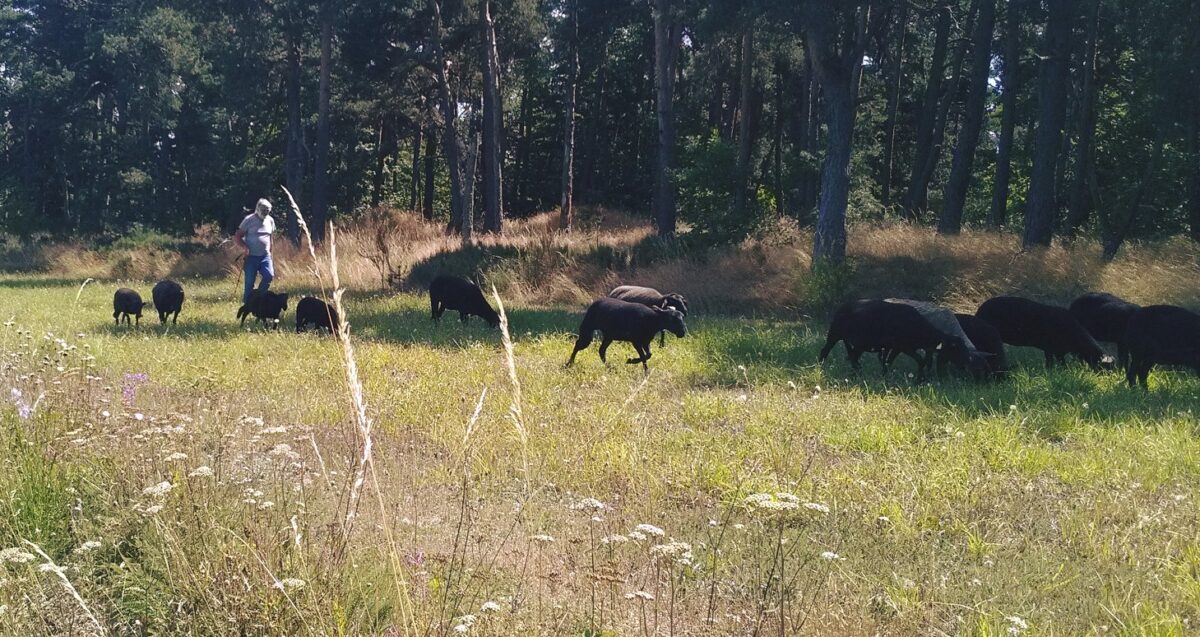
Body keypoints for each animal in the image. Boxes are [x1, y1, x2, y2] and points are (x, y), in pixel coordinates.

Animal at [820, 298, 988, 379]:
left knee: (854, 357)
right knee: (825, 351)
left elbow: (891, 362)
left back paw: (857, 372)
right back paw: (821, 368)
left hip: (858, 343)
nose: (966, 363)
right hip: (834, 334)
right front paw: (920, 378)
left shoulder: (899, 348)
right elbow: (921, 361)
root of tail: (844, 305)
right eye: (956, 348)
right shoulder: (903, 347)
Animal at [974, 296, 1113, 371]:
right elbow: (1050, 363)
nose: (1108, 379)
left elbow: (1062, 364)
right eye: (1105, 368)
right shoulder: (1050, 348)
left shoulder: (1059, 351)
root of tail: (979, 310)